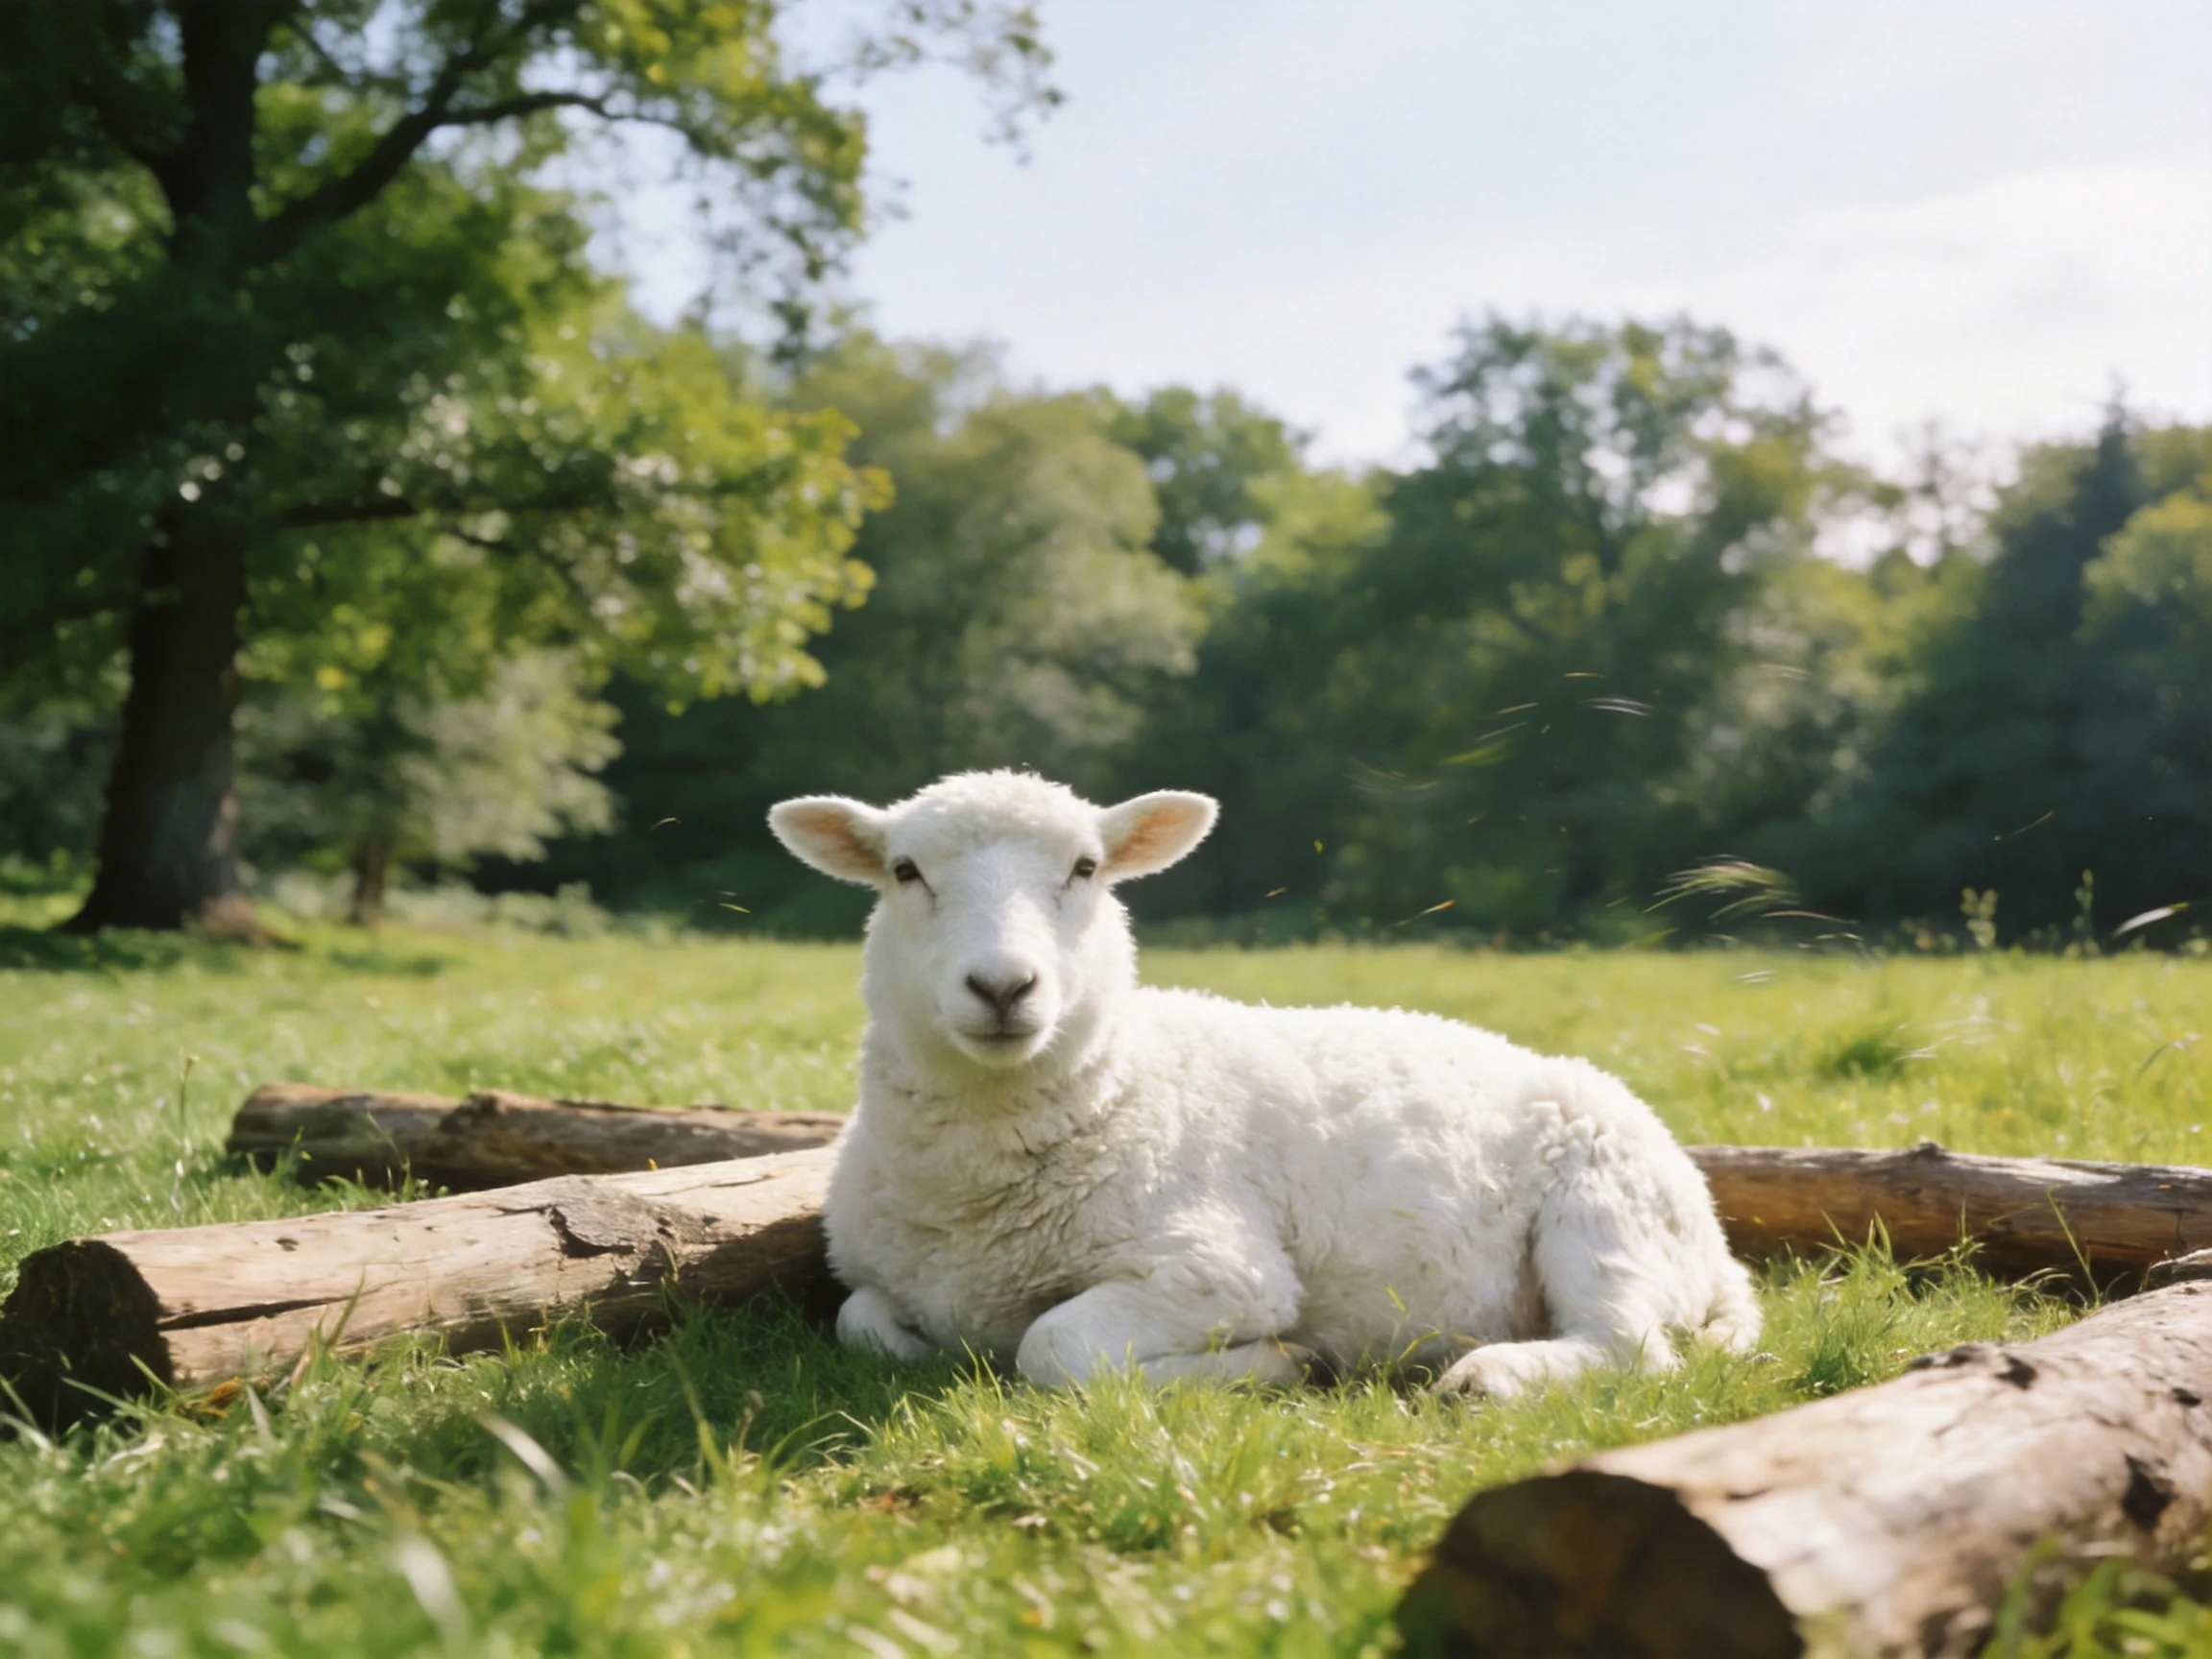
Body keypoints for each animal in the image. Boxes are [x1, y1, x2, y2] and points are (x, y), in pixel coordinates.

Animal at [768, 770, 1760, 1397]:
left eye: (1086, 869)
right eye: (905, 872)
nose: (1005, 987)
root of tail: (1718, 1255)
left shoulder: (1219, 1271)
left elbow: (1054, 1349)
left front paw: (1280, 1364)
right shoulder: (875, 1278)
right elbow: (861, 1323)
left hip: (1606, 1206)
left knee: (1632, 1349)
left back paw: (1490, 1377)